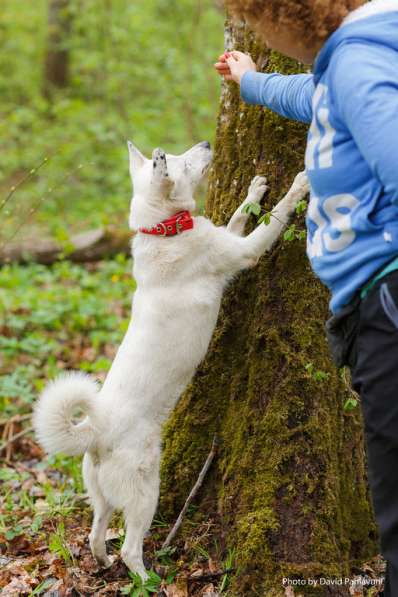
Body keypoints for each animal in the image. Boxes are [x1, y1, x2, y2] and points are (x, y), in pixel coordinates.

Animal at [32, 140, 310, 576]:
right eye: (181, 162)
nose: (208, 144)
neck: (163, 230)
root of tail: (97, 432)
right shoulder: (245, 251)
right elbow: (276, 216)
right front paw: (300, 183)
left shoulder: (227, 236)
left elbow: (238, 214)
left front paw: (254, 188)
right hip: (147, 490)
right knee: (131, 548)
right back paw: (147, 579)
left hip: (101, 494)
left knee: (96, 532)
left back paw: (103, 561)